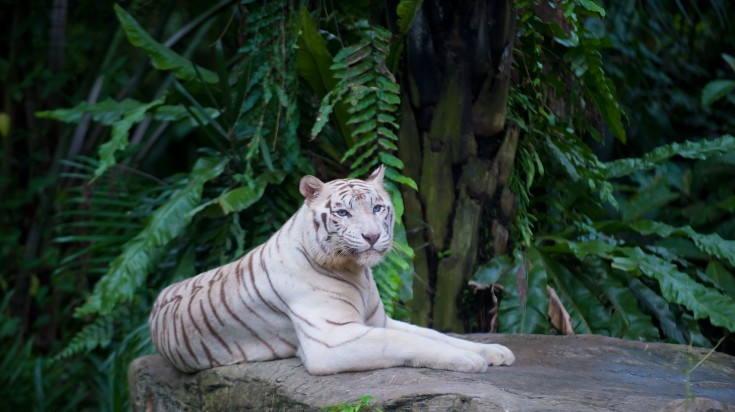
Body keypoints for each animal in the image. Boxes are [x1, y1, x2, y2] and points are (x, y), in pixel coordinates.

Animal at [148, 166, 516, 374]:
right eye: (342, 213)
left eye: (378, 208)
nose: (372, 236)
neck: (358, 273)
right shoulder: (332, 339)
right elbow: (406, 342)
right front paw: (467, 360)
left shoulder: (379, 321)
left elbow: (434, 333)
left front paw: (495, 351)